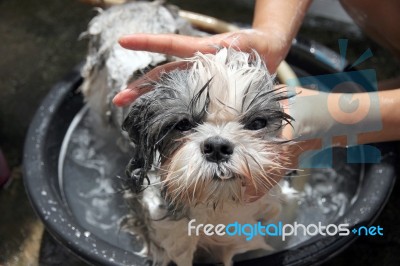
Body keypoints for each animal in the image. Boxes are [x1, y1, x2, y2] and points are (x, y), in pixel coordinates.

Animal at [80, 1, 294, 264]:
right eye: (182, 124)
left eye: (257, 123)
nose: (217, 146)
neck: (219, 205)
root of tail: (133, 5)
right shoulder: (170, 238)